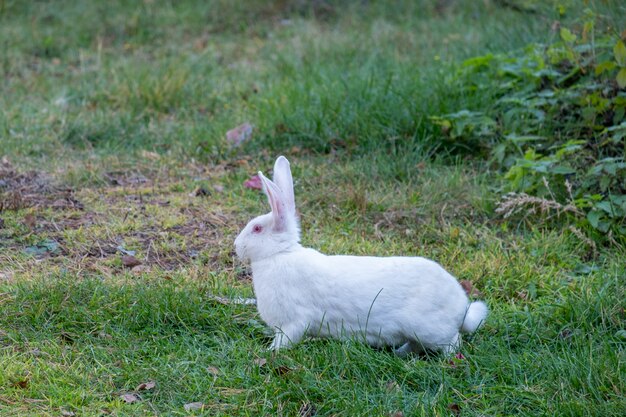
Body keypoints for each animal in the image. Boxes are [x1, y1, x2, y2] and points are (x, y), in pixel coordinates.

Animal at [232, 156, 486, 354]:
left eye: (257, 228)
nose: (237, 246)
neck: (279, 254)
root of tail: (462, 309)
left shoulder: (294, 322)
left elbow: (285, 340)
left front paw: (269, 352)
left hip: (430, 330)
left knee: (453, 343)